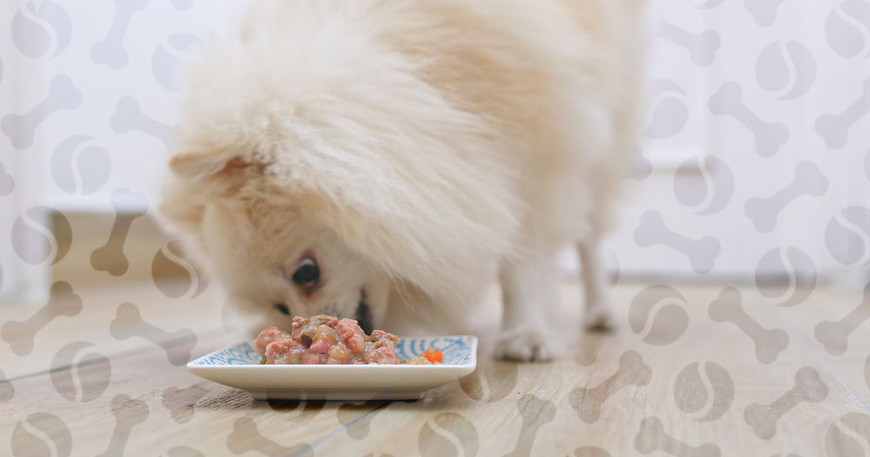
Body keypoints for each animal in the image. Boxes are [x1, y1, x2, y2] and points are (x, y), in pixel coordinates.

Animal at [158, 0, 645, 361]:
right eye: (280, 307)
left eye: (307, 273)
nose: (309, 332)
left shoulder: (536, 154)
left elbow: (521, 263)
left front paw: (524, 333)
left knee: (589, 238)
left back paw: (600, 310)